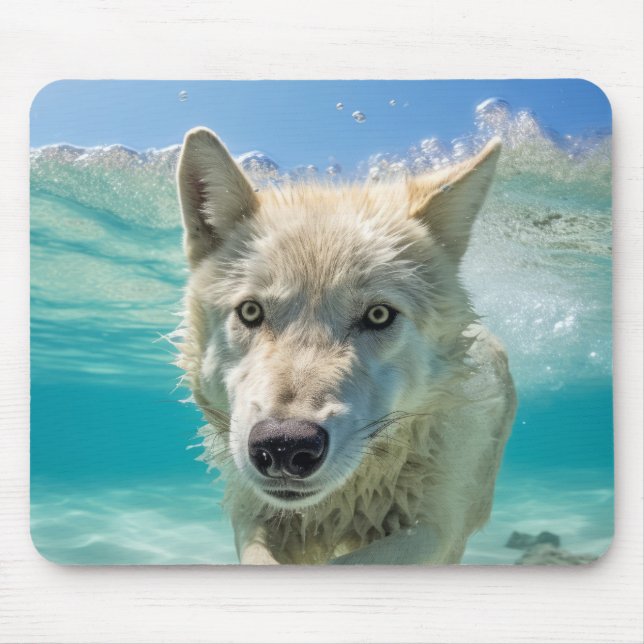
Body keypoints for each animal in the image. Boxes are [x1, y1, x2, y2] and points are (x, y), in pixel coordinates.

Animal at [175, 126, 516, 565]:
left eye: (379, 315)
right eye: (251, 311)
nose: (284, 445)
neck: (343, 501)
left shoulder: (438, 527)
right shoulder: (252, 516)